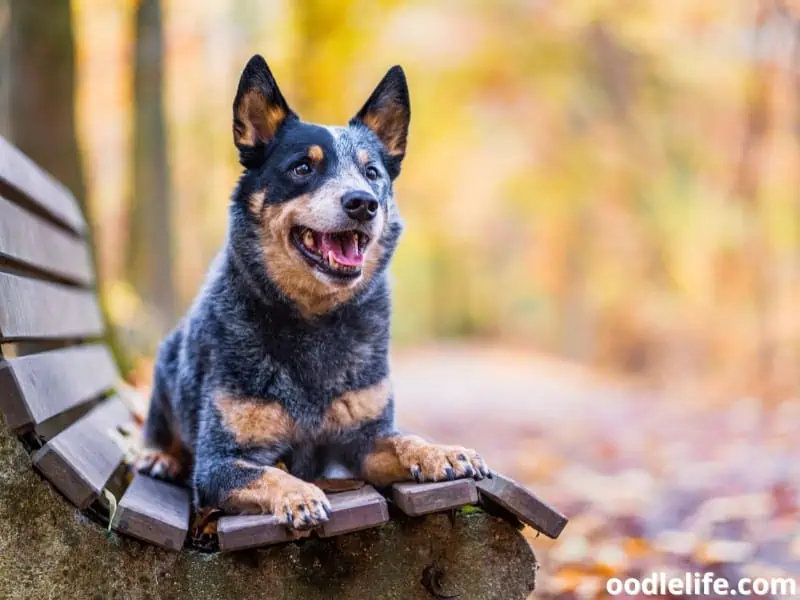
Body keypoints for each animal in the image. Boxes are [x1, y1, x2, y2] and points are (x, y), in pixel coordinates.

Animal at [133, 55, 488, 528]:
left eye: (371, 172)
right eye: (302, 167)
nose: (362, 202)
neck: (313, 320)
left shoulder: (363, 440)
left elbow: (401, 440)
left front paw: (440, 451)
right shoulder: (220, 461)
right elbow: (269, 472)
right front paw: (299, 493)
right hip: (166, 365)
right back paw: (160, 457)